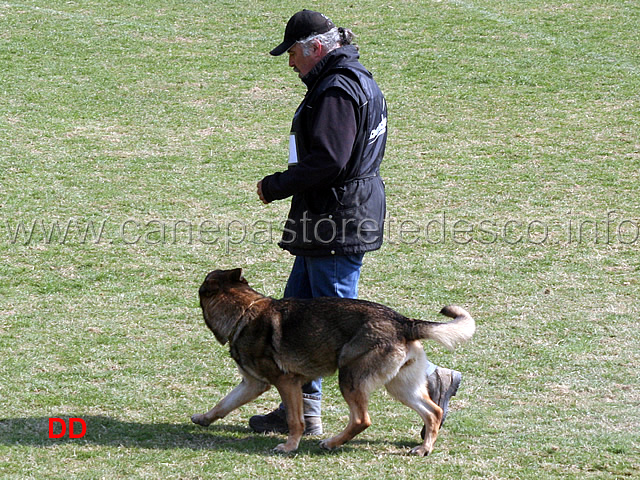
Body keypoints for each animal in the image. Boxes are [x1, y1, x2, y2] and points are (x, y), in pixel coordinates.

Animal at [191, 268, 476, 456]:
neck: (244, 311)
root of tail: (404, 322)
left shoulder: (286, 382)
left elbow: (296, 420)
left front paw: (289, 446)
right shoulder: (252, 384)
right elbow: (224, 404)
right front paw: (204, 419)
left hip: (349, 378)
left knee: (362, 420)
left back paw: (331, 443)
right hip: (399, 387)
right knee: (433, 412)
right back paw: (424, 448)